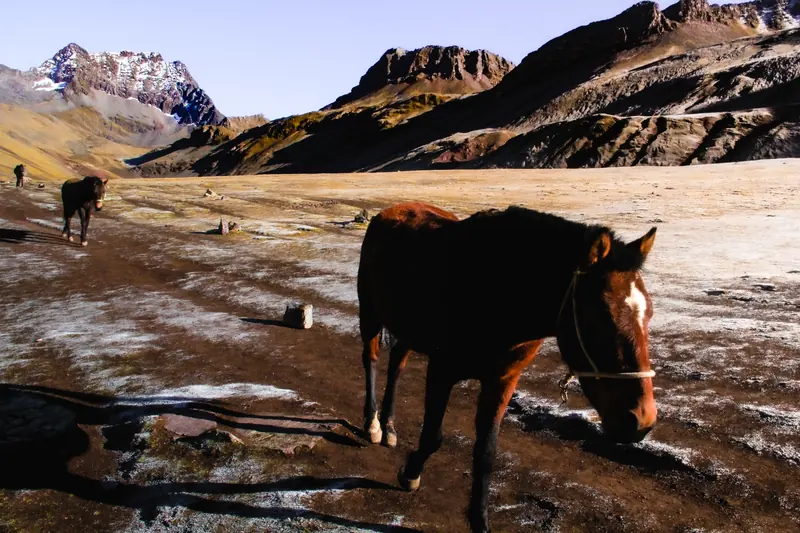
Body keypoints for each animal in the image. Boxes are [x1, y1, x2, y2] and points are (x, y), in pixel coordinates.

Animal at [357, 202, 657, 533]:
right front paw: (410, 474)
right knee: (371, 360)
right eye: (600, 316)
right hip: (370, 314)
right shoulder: (442, 371)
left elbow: (486, 453)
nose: (642, 421)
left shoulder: (502, 380)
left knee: (397, 363)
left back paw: (389, 426)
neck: (500, 293)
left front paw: (480, 521)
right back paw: (373, 424)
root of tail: (388, 212)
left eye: (649, 313)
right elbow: (433, 437)